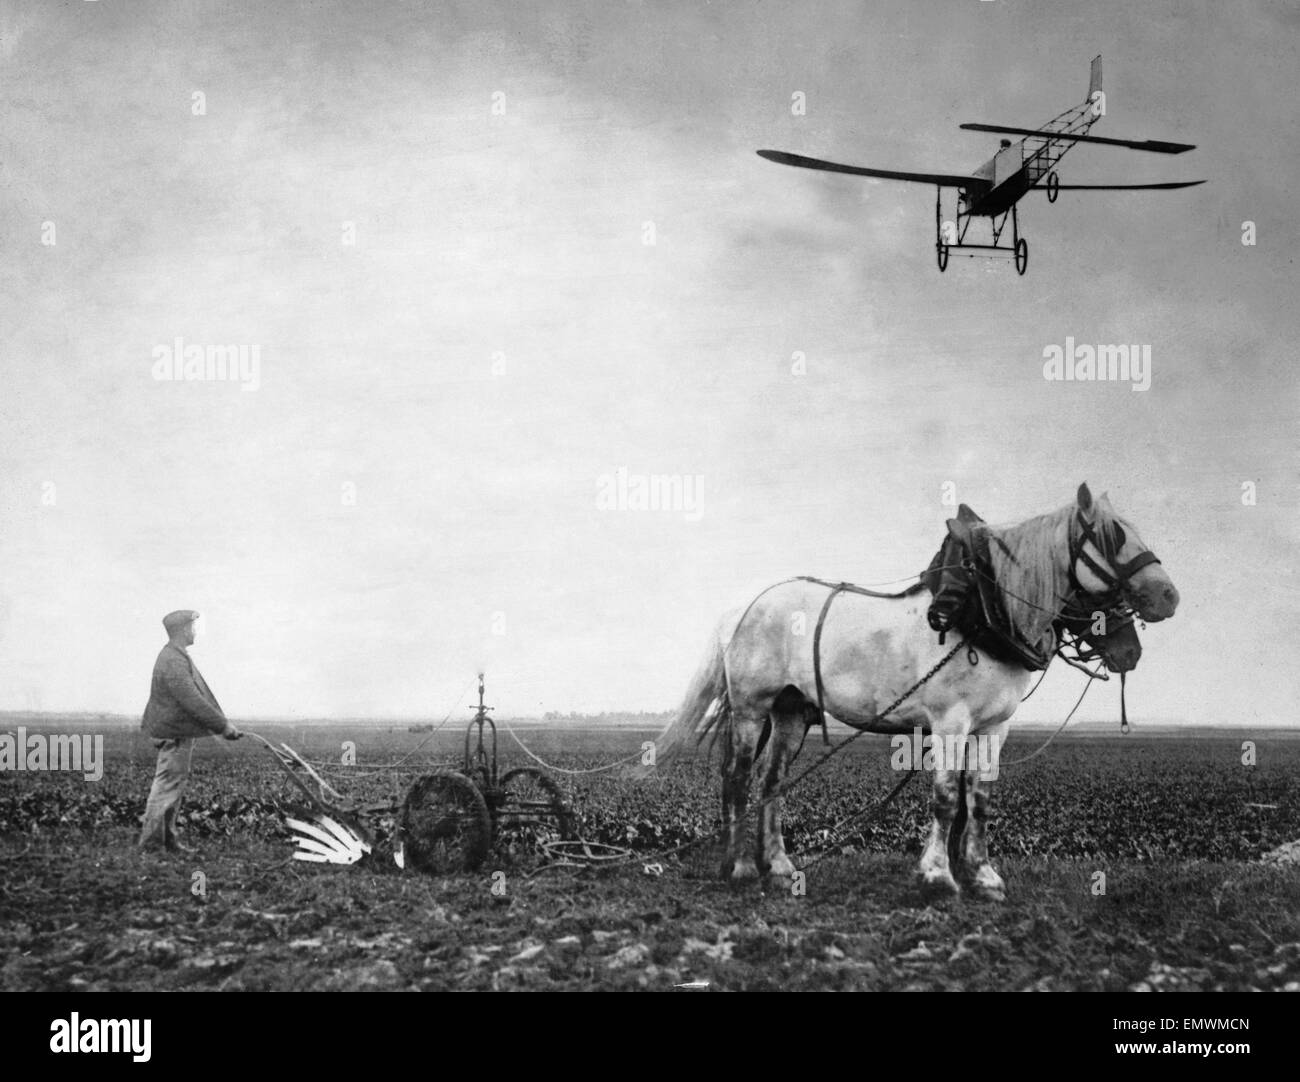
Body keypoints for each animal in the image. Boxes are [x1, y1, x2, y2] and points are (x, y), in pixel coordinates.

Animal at [660, 486, 1180, 899]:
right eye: (1113, 538)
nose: (1169, 597)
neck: (983, 613)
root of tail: (745, 605)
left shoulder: (994, 727)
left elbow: (979, 800)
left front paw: (983, 876)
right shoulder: (950, 722)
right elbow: (947, 797)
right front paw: (937, 876)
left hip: (791, 711)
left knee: (772, 781)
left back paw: (782, 867)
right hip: (752, 708)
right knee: (737, 777)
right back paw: (741, 868)